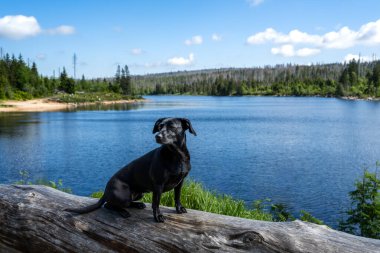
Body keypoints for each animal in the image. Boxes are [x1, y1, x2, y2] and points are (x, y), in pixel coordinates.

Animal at [64, 117, 196, 222]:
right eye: (159, 127)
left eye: (172, 126)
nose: (157, 136)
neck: (177, 156)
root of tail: (106, 191)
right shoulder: (158, 185)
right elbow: (156, 203)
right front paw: (158, 216)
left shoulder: (180, 182)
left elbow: (177, 197)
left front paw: (179, 209)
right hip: (124, 196)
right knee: (109, 205)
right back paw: (124, 212)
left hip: (139, 194)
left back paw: (138, 205)